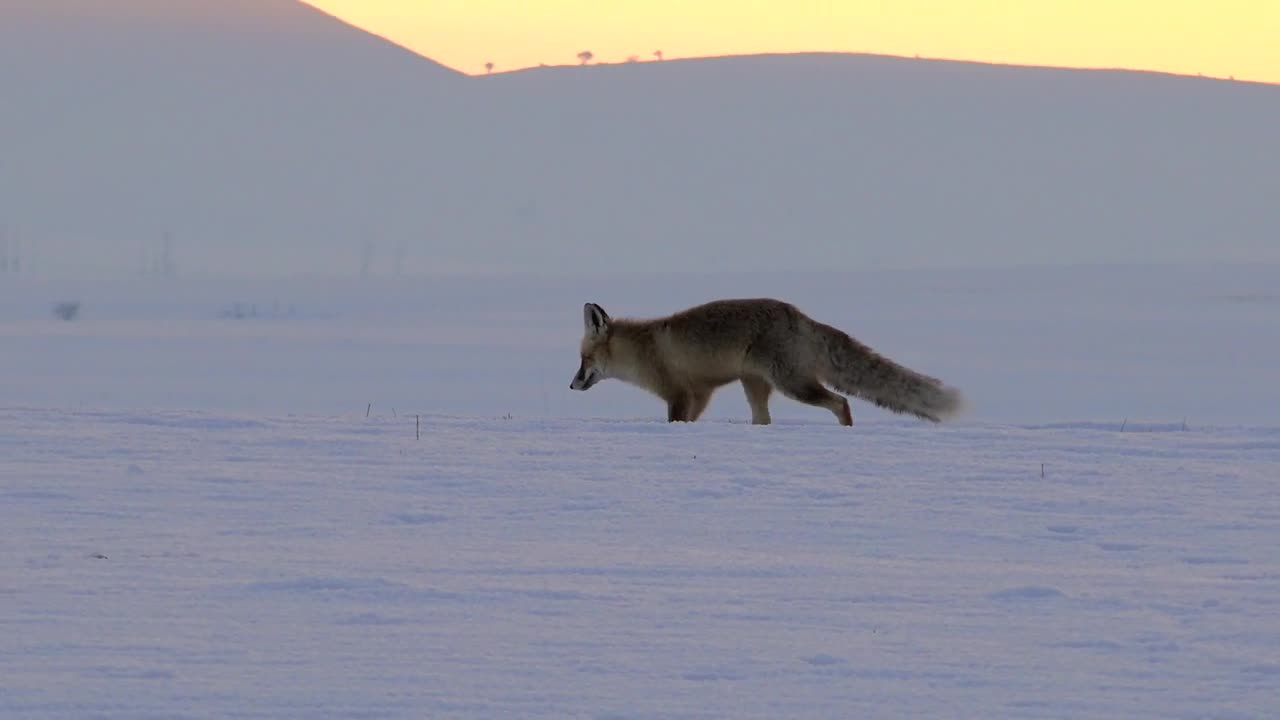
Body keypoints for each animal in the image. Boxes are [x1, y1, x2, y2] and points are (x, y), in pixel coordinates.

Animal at [569, 298, 965, 426]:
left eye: (583, 359)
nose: (571, 384)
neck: (644, 349)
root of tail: (800, 316)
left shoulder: (681, 394)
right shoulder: (700, 394)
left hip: (793, 385)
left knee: (841, 402)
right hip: (755, 385)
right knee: (765, 421)